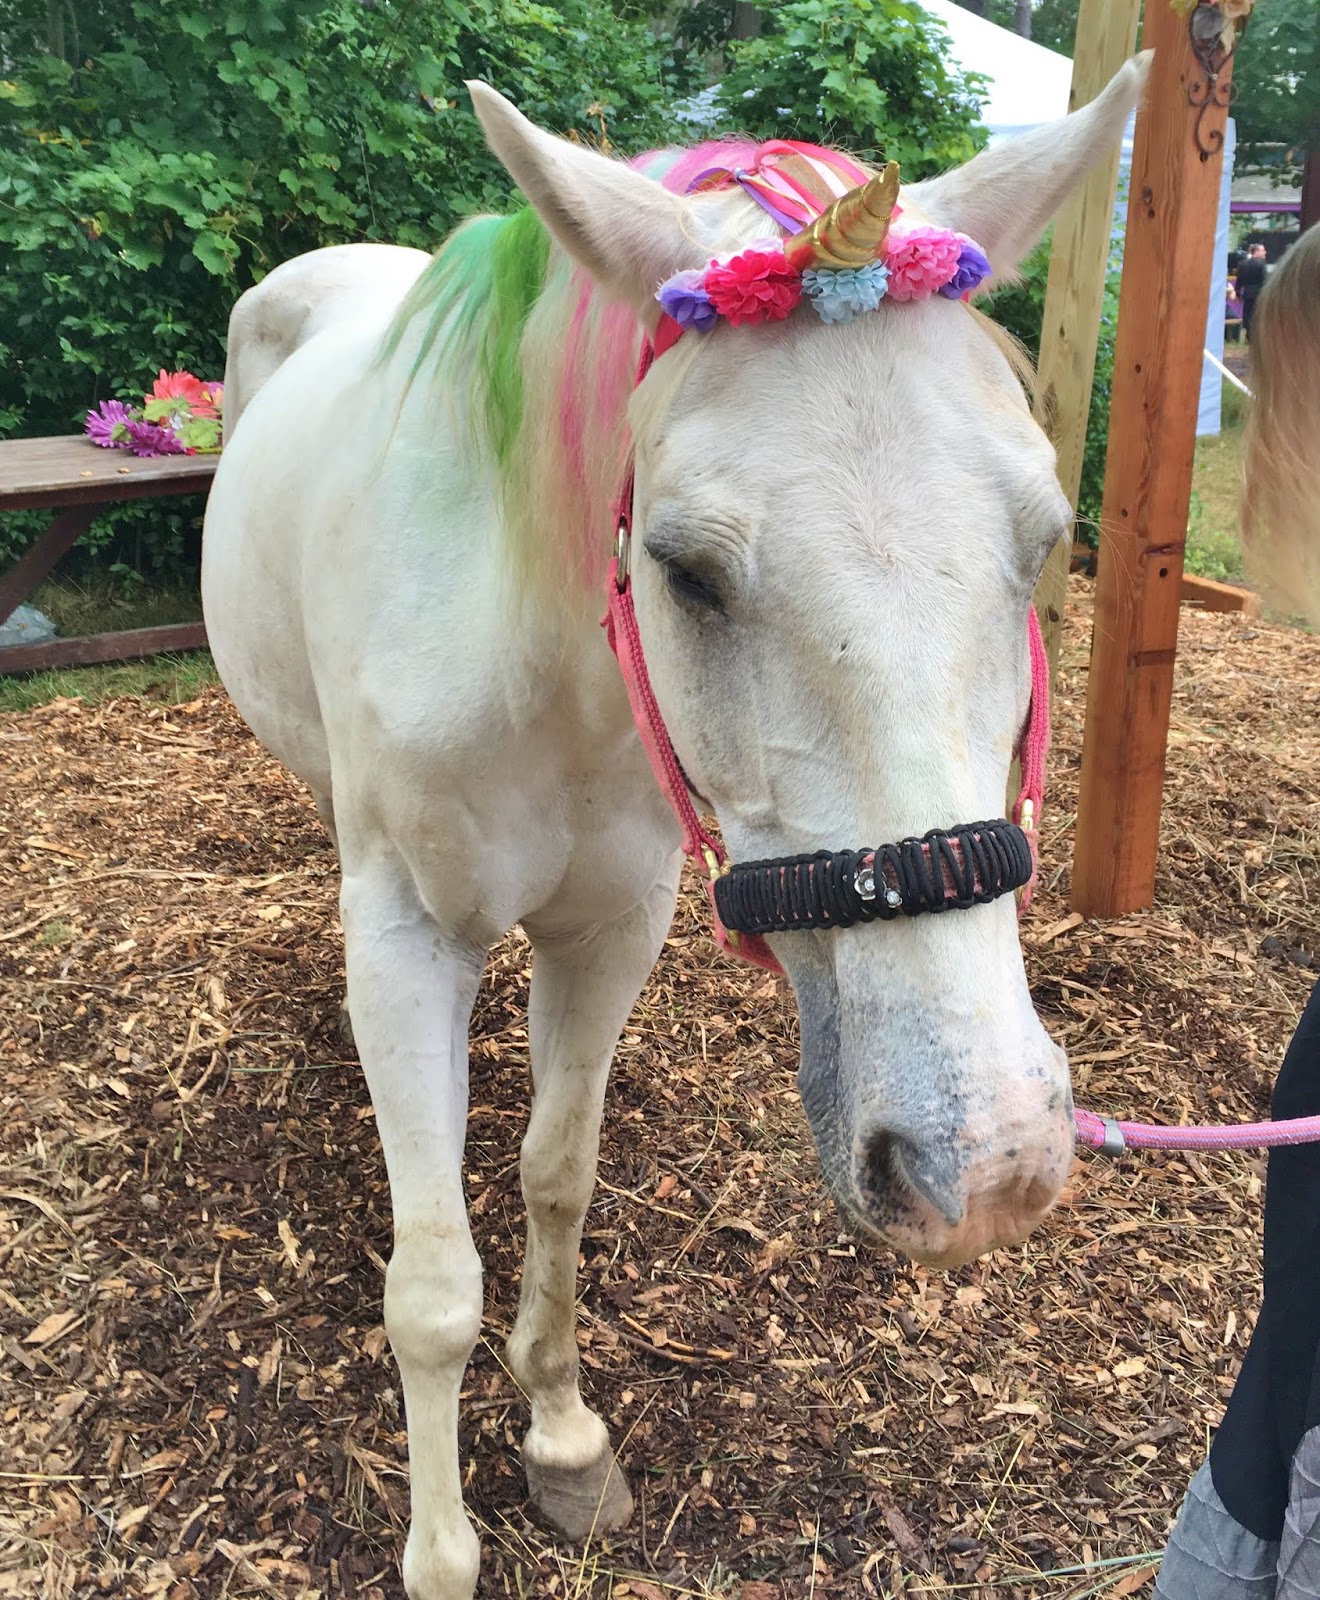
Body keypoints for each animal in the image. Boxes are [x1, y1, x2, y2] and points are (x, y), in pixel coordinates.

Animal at [202, 58, 1149, 1600]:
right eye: (688, 569)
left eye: (1046, 540)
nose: (988, 1160)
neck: (546, 669)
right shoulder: (406, 937)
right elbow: (432, 1287)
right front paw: (442, 1547)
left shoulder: (612, 929)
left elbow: (556, 1178)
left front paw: (563, 1435)